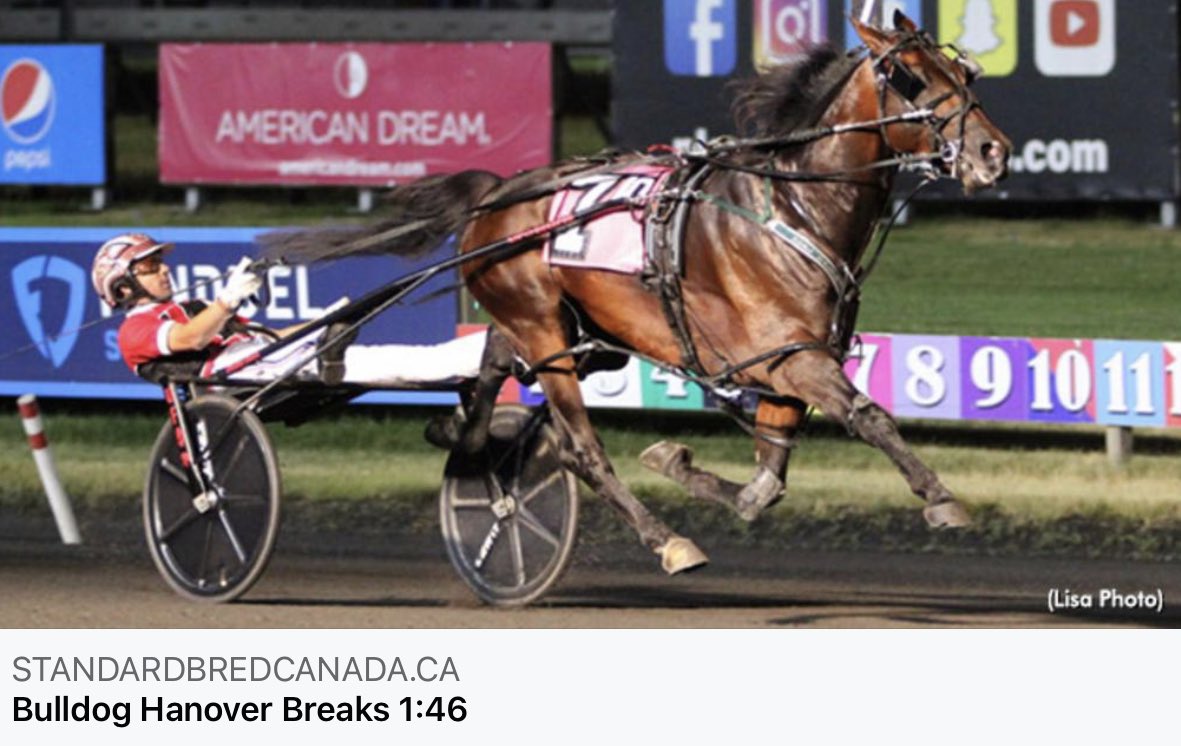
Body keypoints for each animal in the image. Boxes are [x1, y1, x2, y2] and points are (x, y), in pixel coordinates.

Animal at [265, 13, 1011, 576]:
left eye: (966, 74)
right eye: (911, 77)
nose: (992, 152)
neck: (793, 211)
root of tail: (498, 191)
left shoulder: (790, 366)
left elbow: (765, 484)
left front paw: (676, 460)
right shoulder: (791, 358)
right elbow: (869, 418)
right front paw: (941, 497)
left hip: (560, 328)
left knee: (486, 382)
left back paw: (460, 434)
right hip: (546, 333)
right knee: (580, 449)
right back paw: (667, 541)